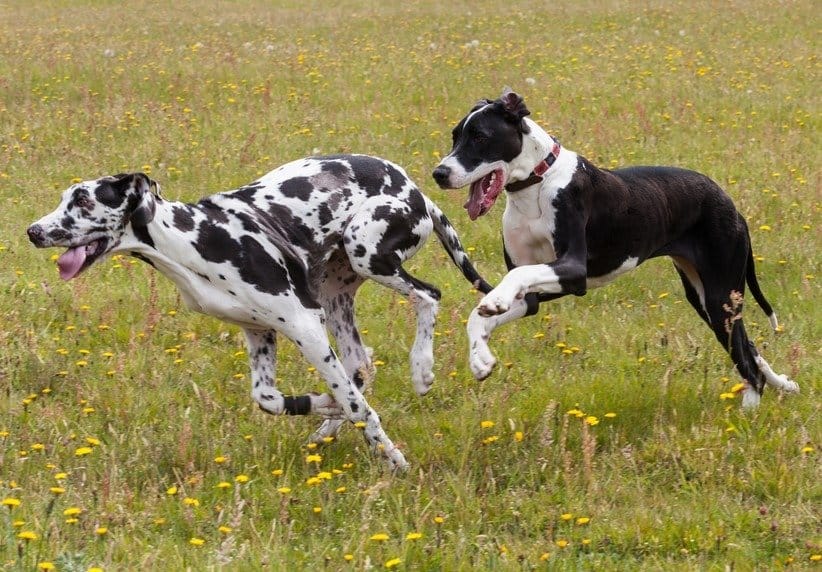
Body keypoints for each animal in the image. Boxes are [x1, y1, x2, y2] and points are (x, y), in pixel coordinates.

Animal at [27, 153, 490, 470]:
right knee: (360, 365)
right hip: (336, 294)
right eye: (65, 198)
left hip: (366, 254)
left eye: (83, 201)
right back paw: (328, 427)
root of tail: (416, 188)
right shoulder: (259, 331)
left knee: (427, 296)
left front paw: (392, 457)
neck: (192, 239)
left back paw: (421, 368)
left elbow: (359, 407)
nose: (33, 231)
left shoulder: (305, 326)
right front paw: (326, 406)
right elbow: (271, 399)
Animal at [434, 89, 800, 406]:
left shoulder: (573, 270)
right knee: (748, 346)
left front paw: (494, 301)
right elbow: (478, 315)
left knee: (748, 363)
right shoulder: (535, 295)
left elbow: (514, 280)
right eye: (455, 136)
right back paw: (783, 383)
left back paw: (748, 414)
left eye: (480, 136)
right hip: (707, 299)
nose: (439, 173)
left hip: (721, 296)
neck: (537, 183)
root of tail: (729, 202)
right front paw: (480, 359)